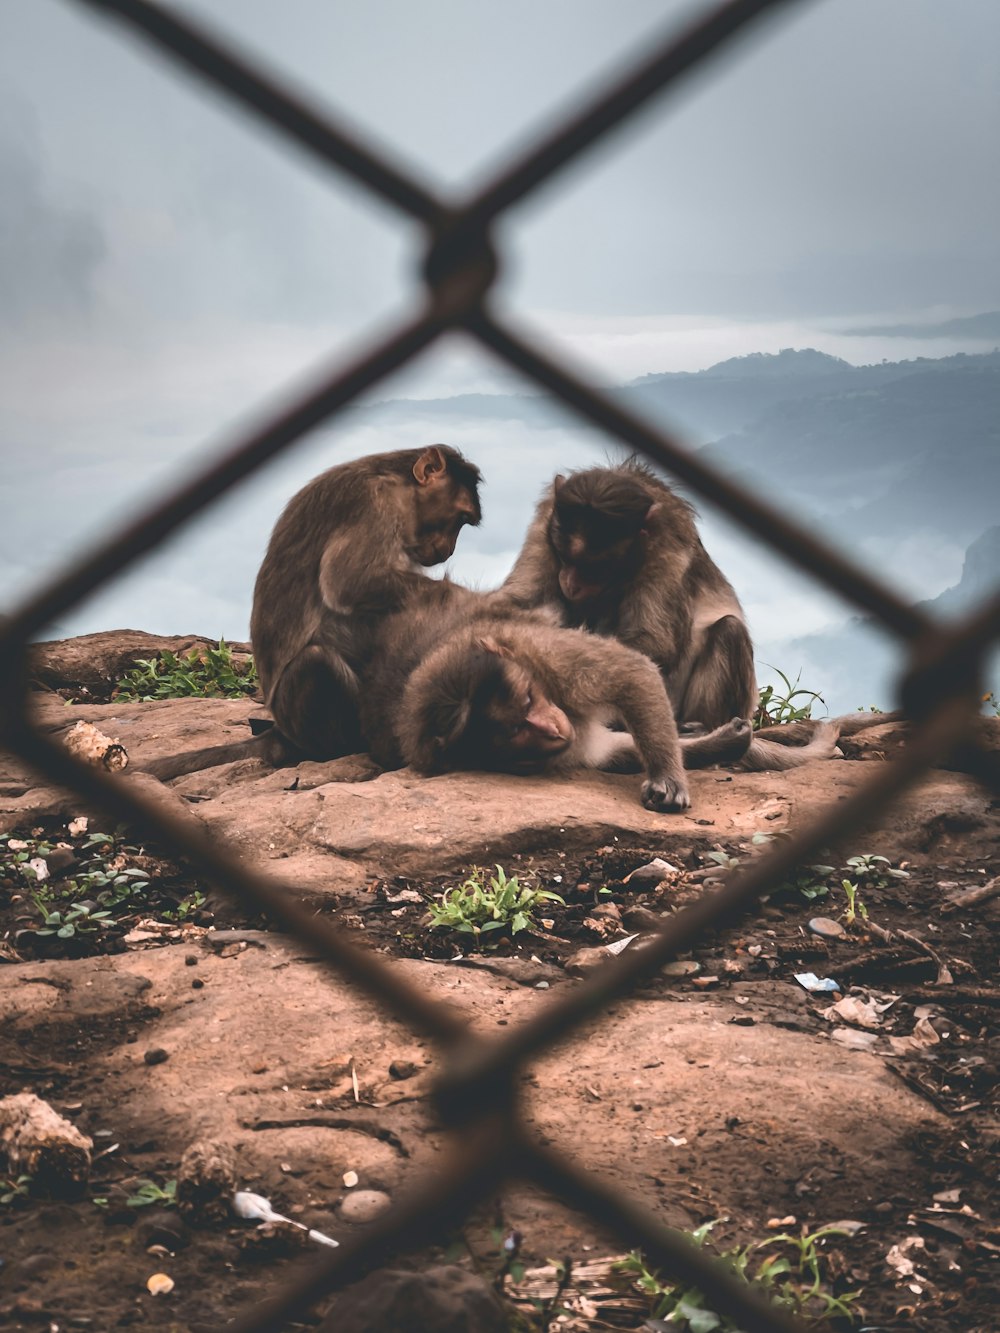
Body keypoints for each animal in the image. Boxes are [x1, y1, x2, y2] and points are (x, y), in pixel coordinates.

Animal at [142, 447, 482, 778]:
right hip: (303, 722)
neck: (397, 483)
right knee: (316, 661)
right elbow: (350, 582)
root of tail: (279, 732)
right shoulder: (372, 503)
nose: (449, 550)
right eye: (460, 518)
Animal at [498, 458, 842, 773]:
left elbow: (656, 642)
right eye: (564, 555)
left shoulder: (667, 544)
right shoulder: (546, 521)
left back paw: (703, 732)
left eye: (596, 568)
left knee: (729, 631)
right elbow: (517, 603)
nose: (570, 582)